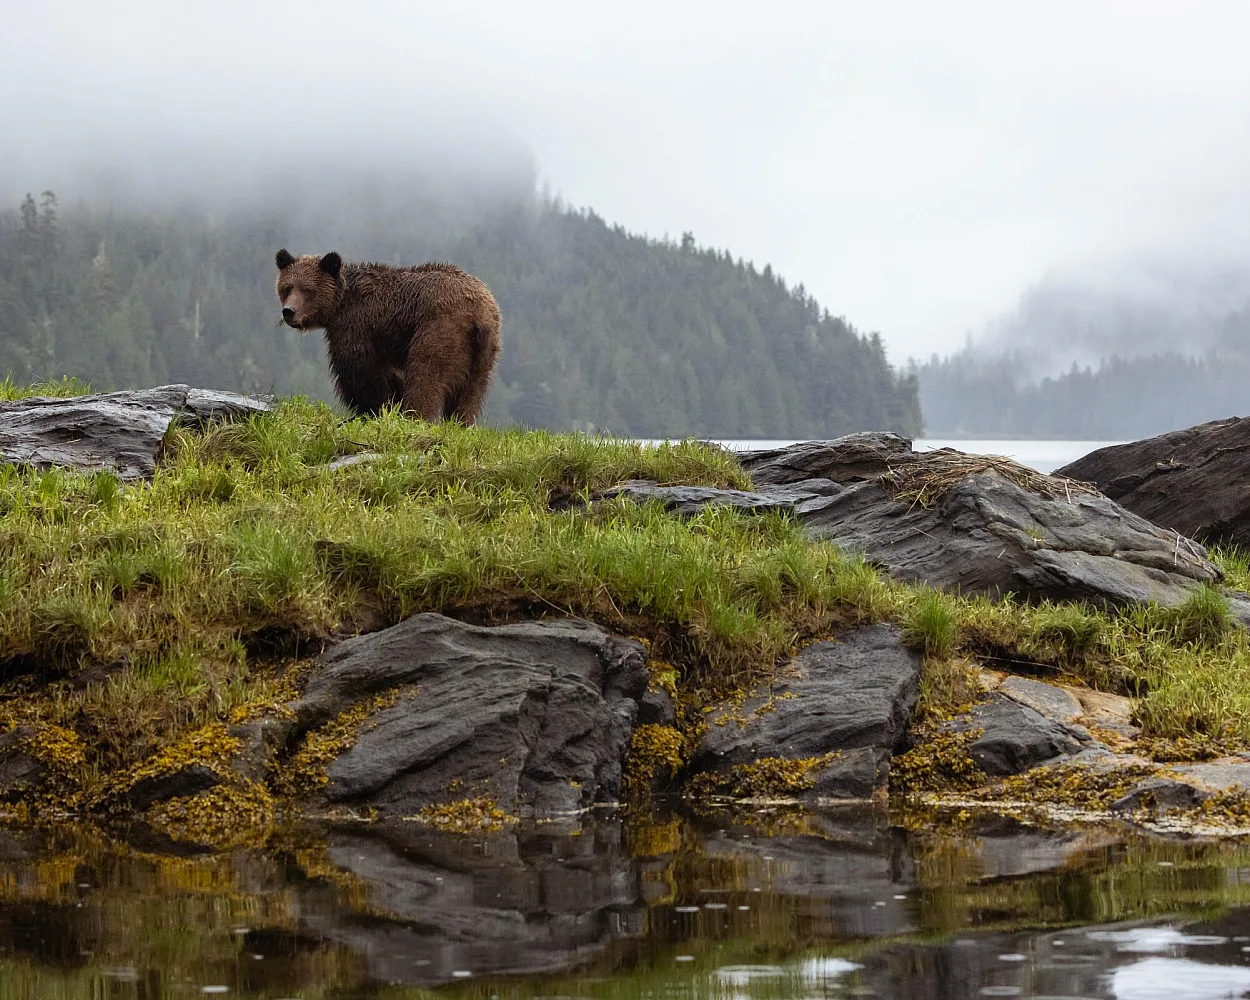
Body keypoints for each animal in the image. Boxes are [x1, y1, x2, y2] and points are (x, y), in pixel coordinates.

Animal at [274, 249, 501, 424]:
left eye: (307, 289)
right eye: (287, 287)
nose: (289, 311)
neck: (340, 304)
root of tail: (478, 314)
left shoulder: (357, 325)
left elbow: (359, 371)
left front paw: (369, 410)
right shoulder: (381, 340)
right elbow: (388, 374)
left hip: (439, 329)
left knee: (425, 376)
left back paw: (415, 417)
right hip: (484, 351)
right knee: (471, 392)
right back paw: (460, 423)